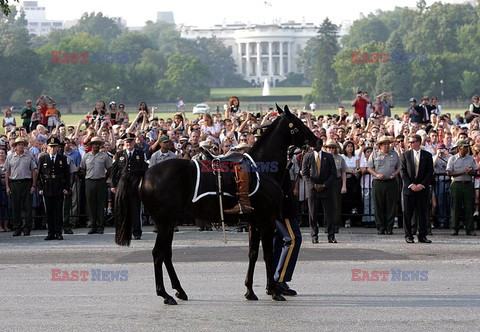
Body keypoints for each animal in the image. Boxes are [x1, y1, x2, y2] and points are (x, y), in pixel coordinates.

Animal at [115, 105, 318, 304]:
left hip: (168, 223)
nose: (317, 141)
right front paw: (274, 290)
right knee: (159, 253)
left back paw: (179, 290)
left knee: (166, 254)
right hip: (165, 222)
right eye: (298, 123)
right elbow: (268, 255)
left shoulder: (254, 222)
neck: (262, 168)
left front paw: (250, 290)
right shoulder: (267, 222)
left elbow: (253, 254)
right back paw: (165, 294)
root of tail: (146, 172)